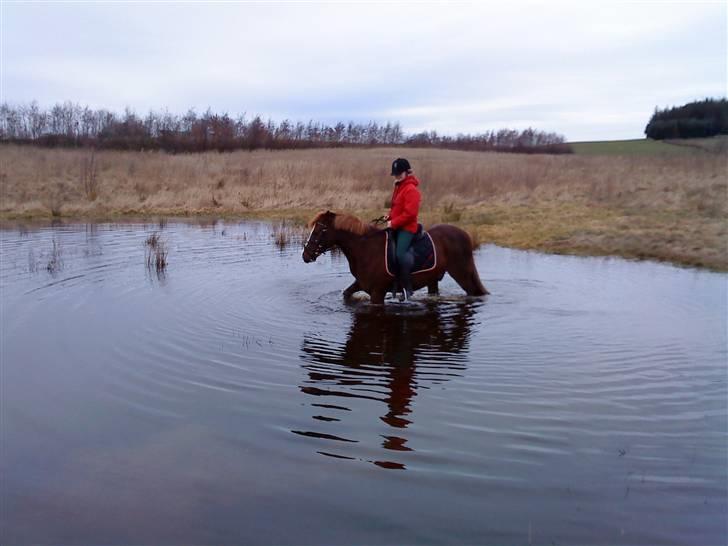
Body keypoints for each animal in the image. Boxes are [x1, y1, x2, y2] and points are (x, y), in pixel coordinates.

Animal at [302, 209, 490, 304]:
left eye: (319, 231)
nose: (306, 255)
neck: (366, 248)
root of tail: (464, 234)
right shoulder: (361, 283)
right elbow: (346, 294)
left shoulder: (377, 292)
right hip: (433, 279)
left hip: (461, 273)